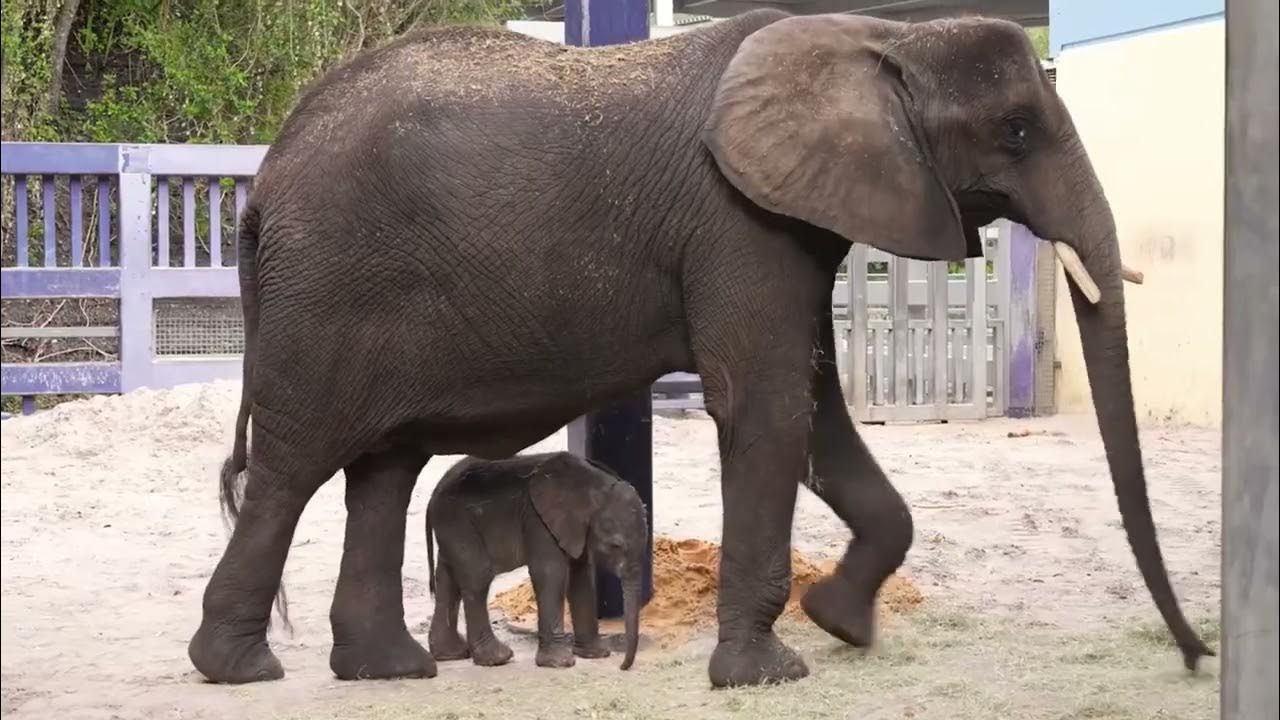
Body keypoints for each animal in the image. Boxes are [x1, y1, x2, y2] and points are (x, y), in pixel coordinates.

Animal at [424, 452, 647, 670]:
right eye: (615, 545)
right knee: (478, 575)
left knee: (448, 578)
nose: (622, 666)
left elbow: (581, 574)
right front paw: (560, 663)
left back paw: (451, 654)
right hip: (456, 521)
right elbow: (551, 573)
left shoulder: (575, 529)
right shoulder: (538, 520)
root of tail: (432, 496)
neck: (595, 485)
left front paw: (596, 654)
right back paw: (498, 658)